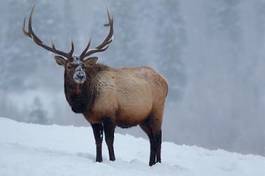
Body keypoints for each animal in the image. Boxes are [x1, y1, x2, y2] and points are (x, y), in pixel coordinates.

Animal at [23, 7, 167, 166]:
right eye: (69, 66)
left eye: (83, 66)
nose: (80, 75)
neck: (87, 102)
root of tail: (165, 81)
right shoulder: (93, 119)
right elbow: (98, 141)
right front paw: (98, 160)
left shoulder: (110, 115)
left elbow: (109, 141)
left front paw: (112, 160)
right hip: (143, 118)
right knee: (152, 138)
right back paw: (151, 164)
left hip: (157, 111)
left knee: (158, 137)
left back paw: (158, 163)